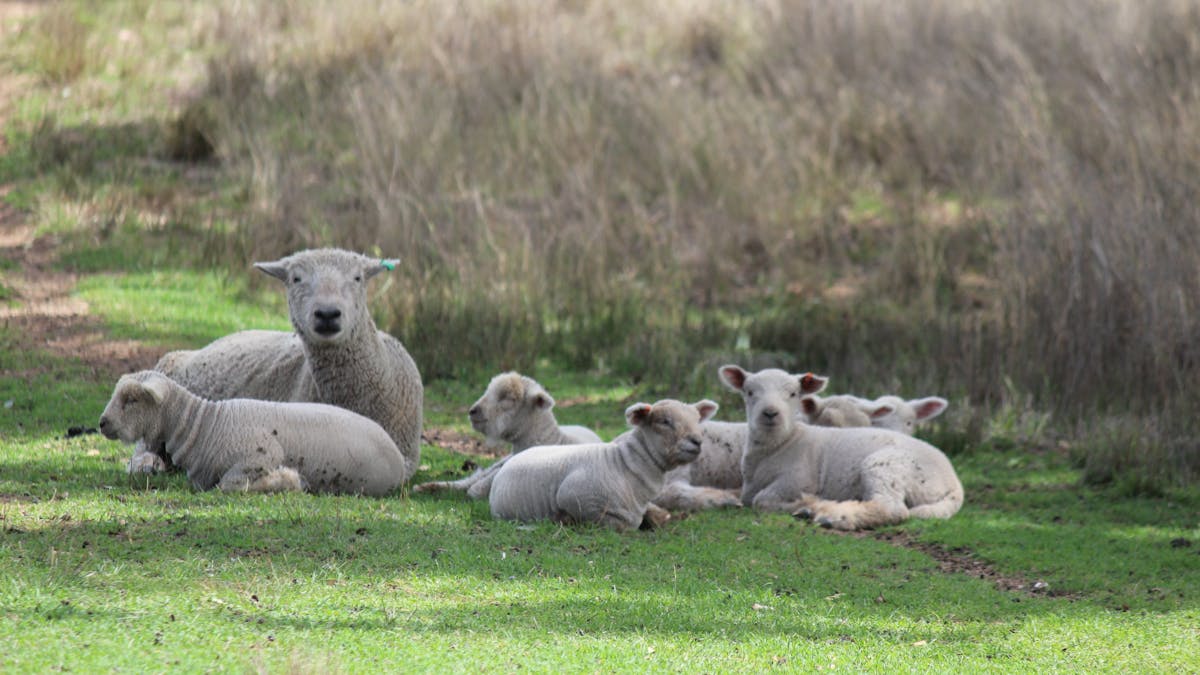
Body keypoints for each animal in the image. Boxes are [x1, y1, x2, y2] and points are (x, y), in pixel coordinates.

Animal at [101, 371, 406, 495]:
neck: (204, 426)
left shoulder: (262, 454)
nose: (102, 422)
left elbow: (230, 485)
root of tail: (399, 457)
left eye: (132, 399)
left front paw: (287, 481)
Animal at [489, 399, 718, 531]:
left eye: (697, 419)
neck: (627, 466)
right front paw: (565, 519)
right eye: (664, 421)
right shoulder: (573, 495)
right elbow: (620, 525)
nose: (697, 441)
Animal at [720, 365, 963, 530]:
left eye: (793, 394)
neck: (780, 445)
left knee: (892, 508)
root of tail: (953, 481)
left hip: (886, 466)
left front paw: (806, 504)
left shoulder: (798, 480)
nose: (770, 413)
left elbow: (762, 500)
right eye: (749, 392)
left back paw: (836, 516)